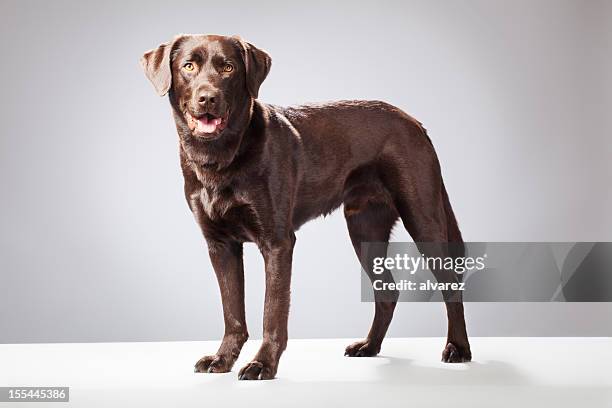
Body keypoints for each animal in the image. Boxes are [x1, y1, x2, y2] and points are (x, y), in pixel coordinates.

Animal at [141, 34, 470, 380]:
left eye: (228, 68)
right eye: (188, 66)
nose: (208, 98)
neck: (220, 159)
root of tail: (414, 121)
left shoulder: (277, 242)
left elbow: (272, 310)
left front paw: (263, 364)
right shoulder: (220, 245)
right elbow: (232, 312)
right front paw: (223, 359)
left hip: (423, 219)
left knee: (451, 283)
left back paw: (458, 348)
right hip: (364, 230)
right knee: (387, 292)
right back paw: (369, 346)